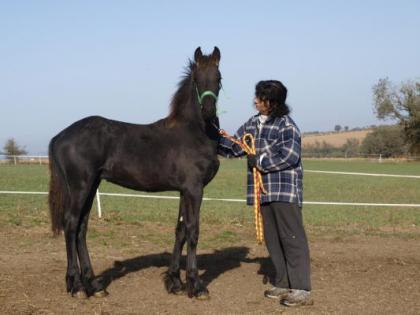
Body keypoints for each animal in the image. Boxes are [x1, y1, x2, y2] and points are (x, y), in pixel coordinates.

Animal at [48, 46, 221, 298]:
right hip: (80, 187)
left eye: (219, 79)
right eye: (197, 79)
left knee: (81, 228)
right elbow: (193, 231)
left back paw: (94, 285)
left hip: (91, 186)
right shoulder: (194, 189)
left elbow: (180, 230)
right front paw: (196, 286)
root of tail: (59, 136)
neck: (194, 132)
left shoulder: (183, 191)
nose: (208, 112)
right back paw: (77, 286)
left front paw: (175, 282)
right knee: (71, 225)